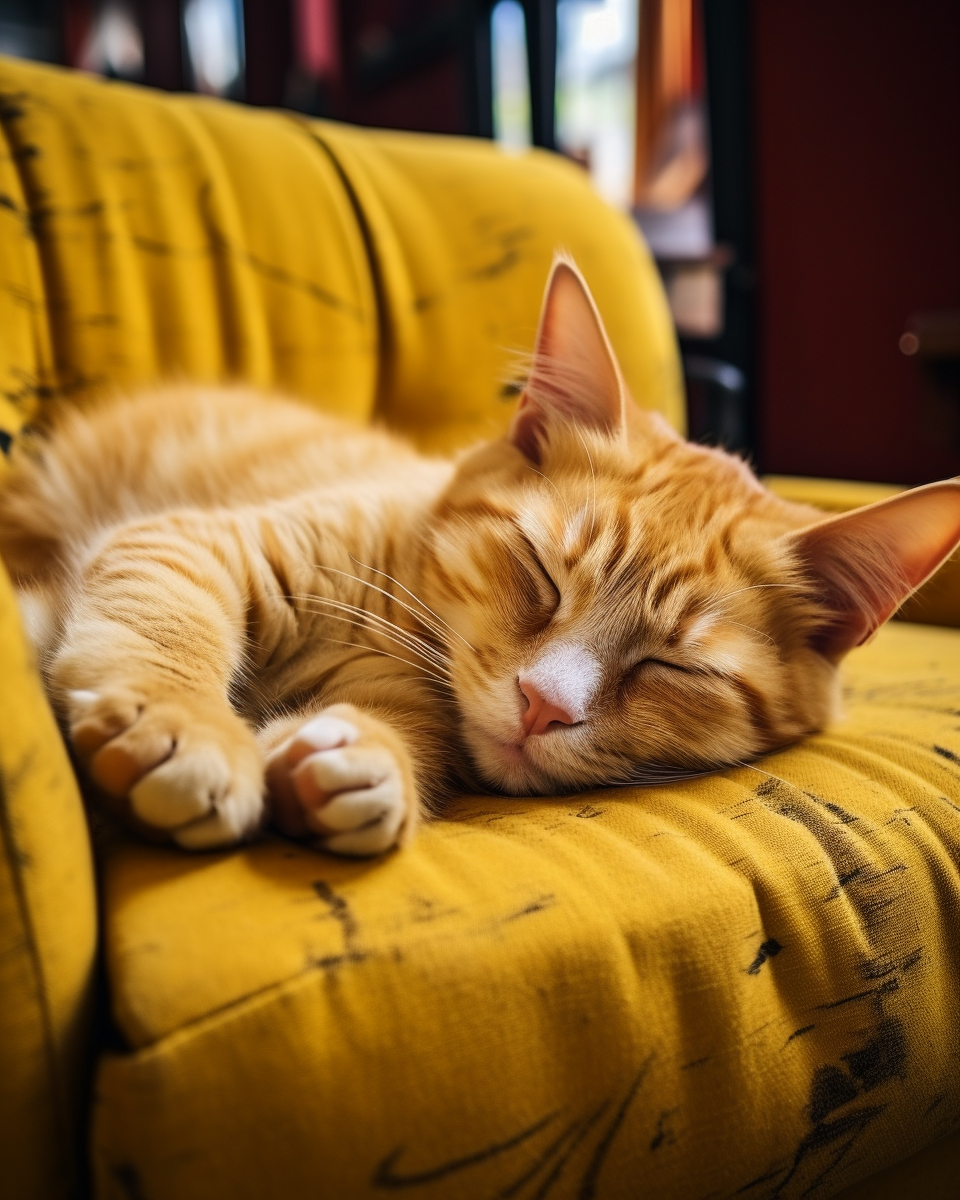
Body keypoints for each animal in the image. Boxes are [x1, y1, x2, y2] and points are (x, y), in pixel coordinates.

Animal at [5, 258, 960, 859]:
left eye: (673, 668)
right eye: (538, 572)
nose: (543, 707)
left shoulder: (392, 696)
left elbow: (397, 735)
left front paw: (363, 768)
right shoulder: (194, 542)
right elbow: (164, 628)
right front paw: (187, 728)